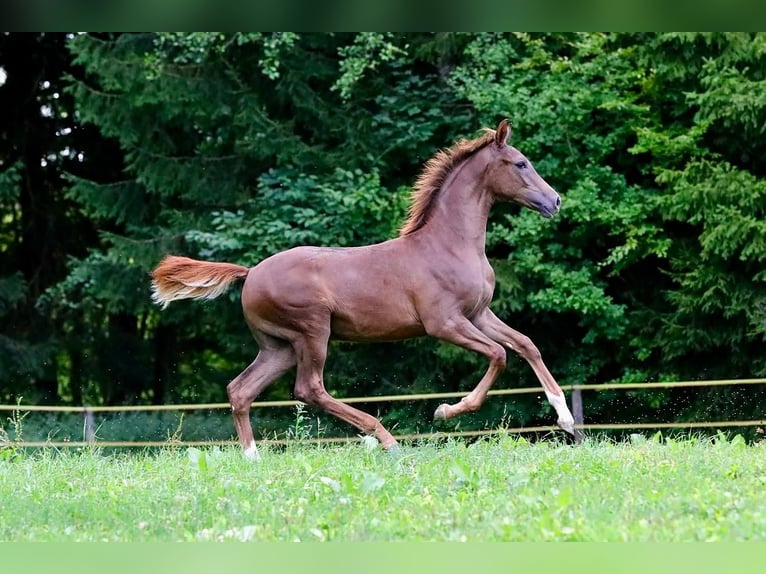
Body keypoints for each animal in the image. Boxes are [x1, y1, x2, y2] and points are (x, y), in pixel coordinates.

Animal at [150, 119, 577, 459]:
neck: (449, 243)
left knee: (241, 389)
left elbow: (525, 344)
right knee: (309, 389)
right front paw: (445, 410)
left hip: (278, 347)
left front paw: (567, 419)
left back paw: (253, 458)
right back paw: (384, 439)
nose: (555, 200)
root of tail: (251, 272)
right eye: (520, 163)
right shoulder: (444, 323)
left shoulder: (479, 313)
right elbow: (499, 355)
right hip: (312, 332)